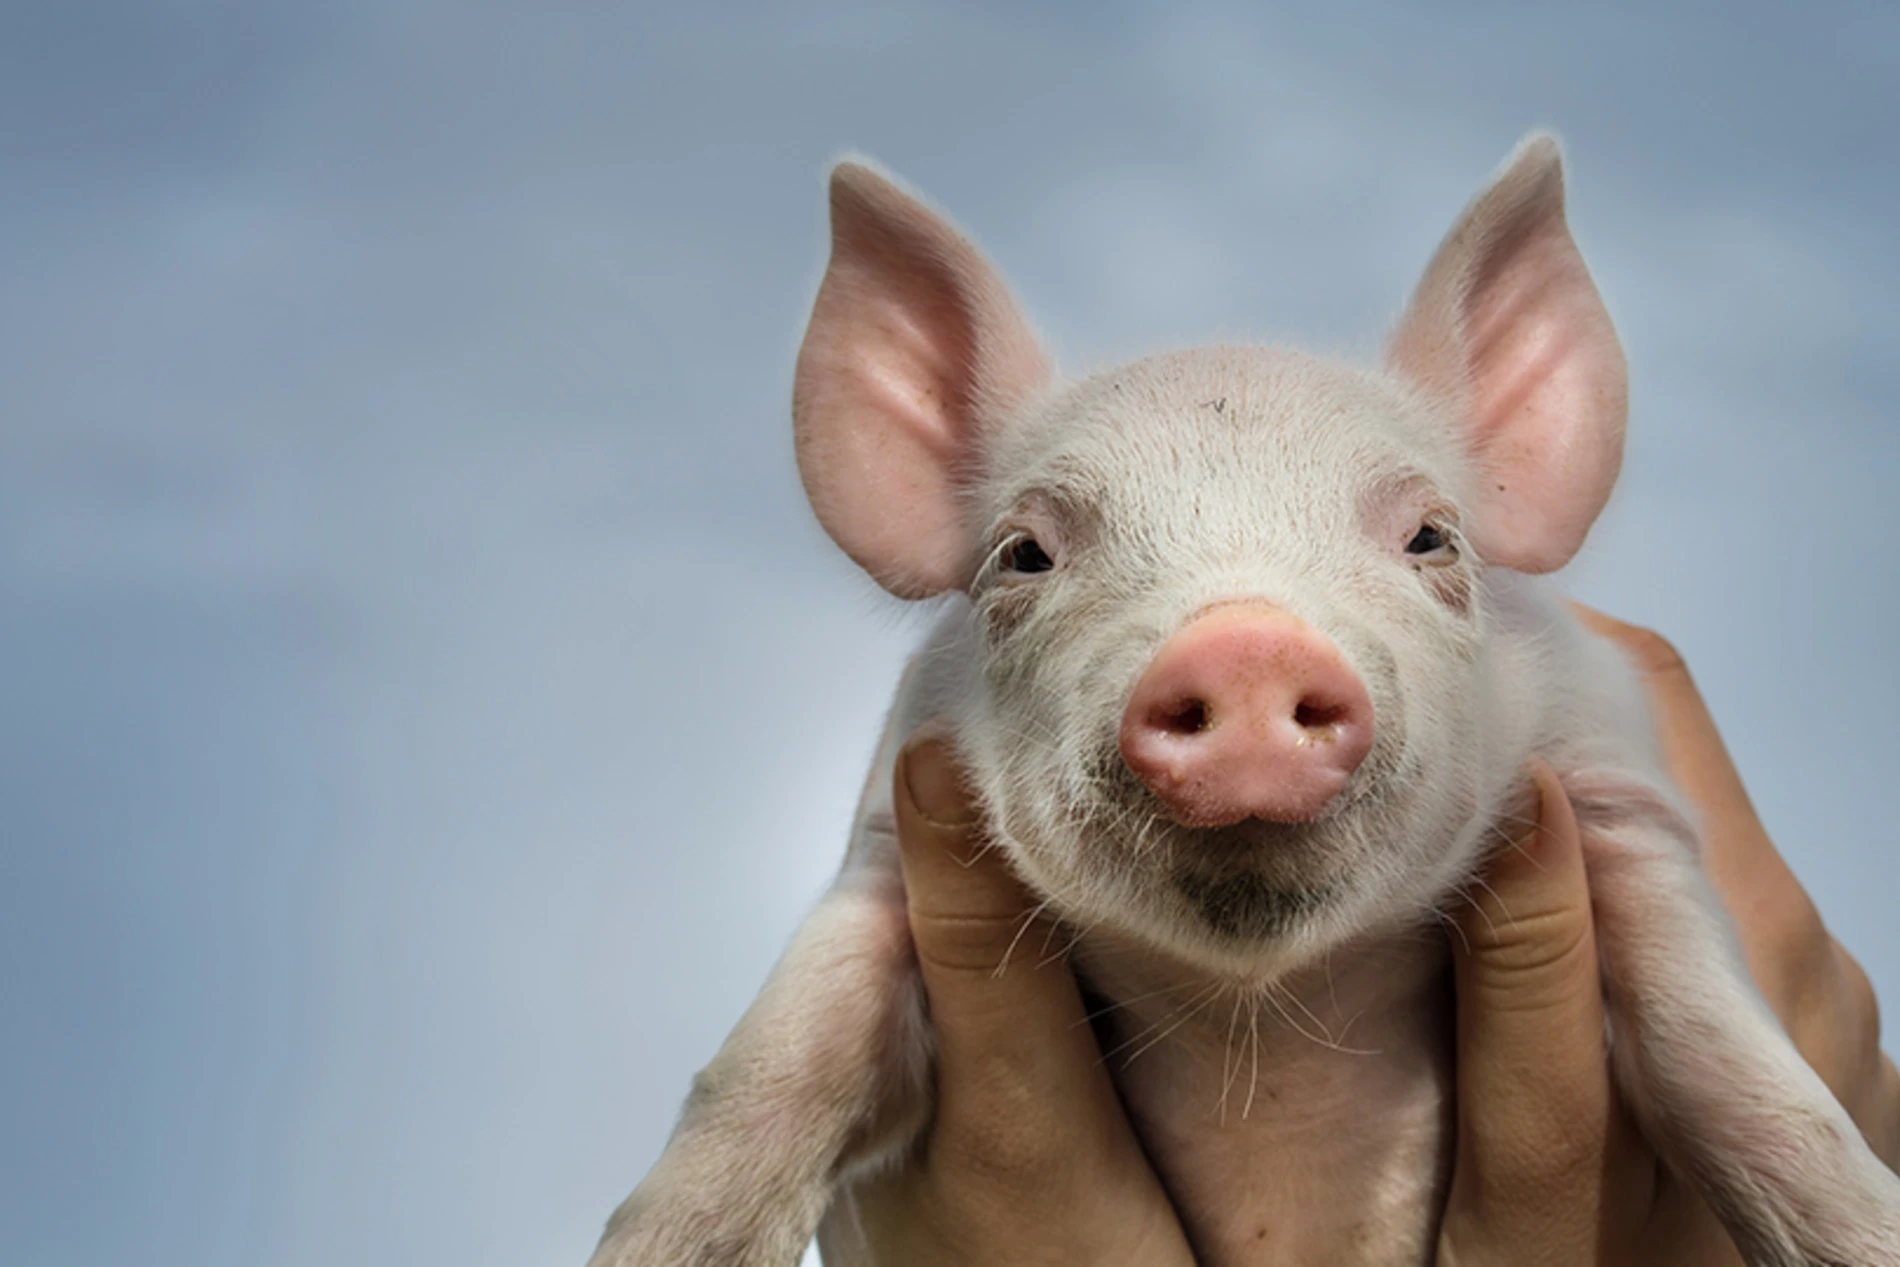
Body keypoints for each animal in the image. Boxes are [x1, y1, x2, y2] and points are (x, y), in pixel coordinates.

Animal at [590, 134, 1900, 1266]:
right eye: (1023, 553)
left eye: (1430, 537)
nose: (1246, 645)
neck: (1263, 1027)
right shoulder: (886, 832)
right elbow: (774, 1059)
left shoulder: (1618, 786)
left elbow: (1728, 1056)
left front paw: (1862, 1226)